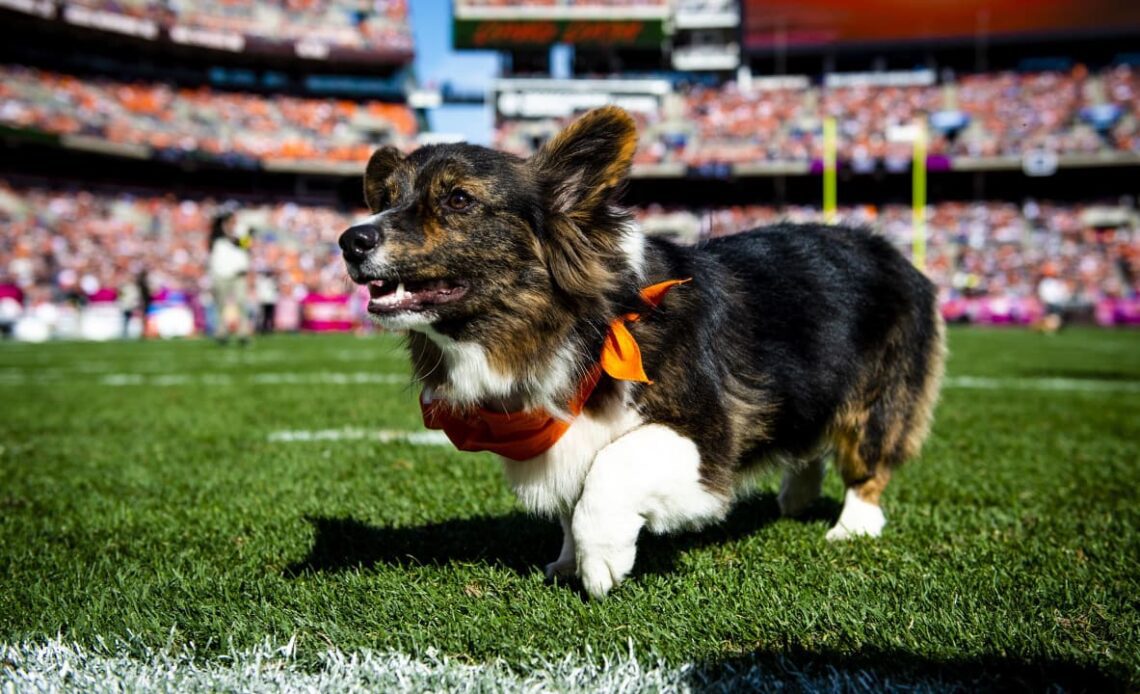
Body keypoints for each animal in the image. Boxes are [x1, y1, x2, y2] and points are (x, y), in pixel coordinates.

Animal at [335, 105, 943, 597]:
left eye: (459, 199)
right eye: (387, 199)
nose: (349, 240)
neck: (574, 326)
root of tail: (889, 249)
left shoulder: (703, 440)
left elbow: (611, 470)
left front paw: (600, 559)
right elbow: (571, 500)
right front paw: (566, 561)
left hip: (878, 398)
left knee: (867, 461)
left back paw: (852, 525)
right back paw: (796, 493)